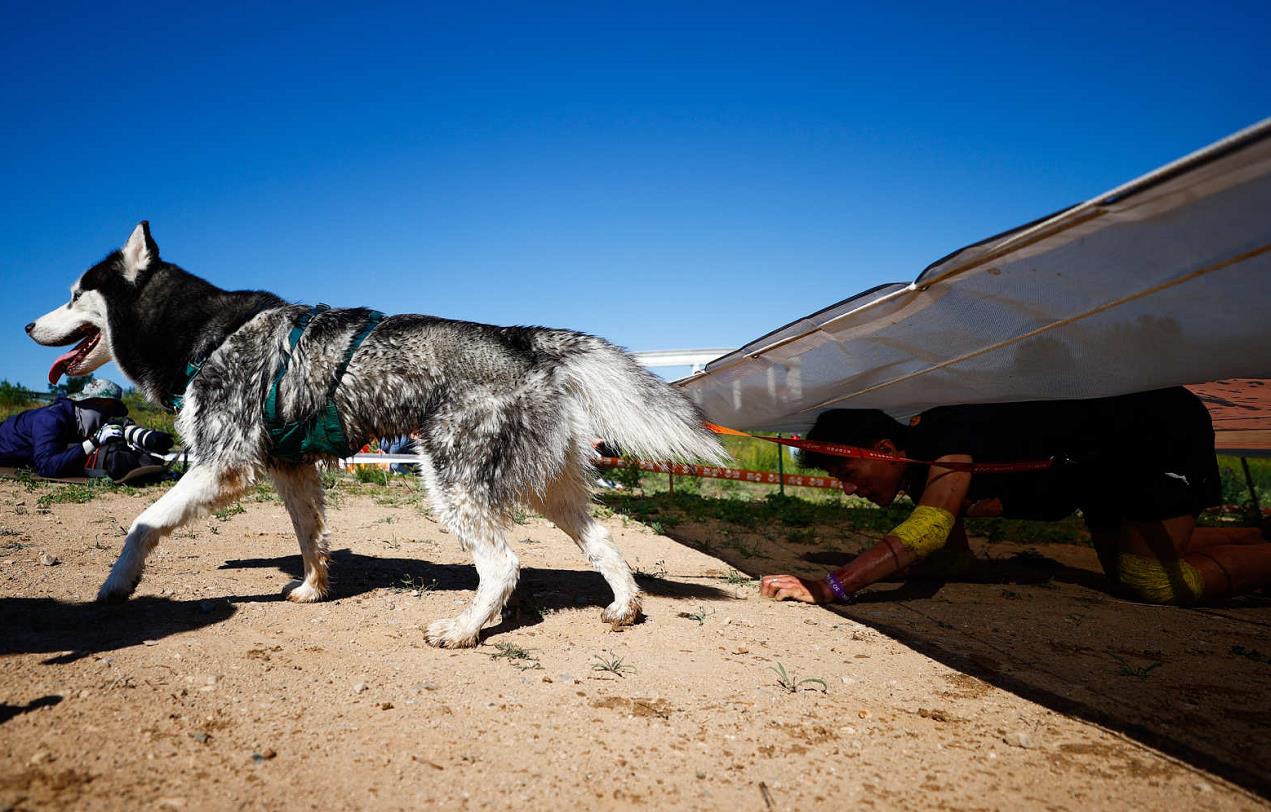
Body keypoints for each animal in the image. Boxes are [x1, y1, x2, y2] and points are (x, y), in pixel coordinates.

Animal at [27, 222, 727, 648]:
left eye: (74, 295)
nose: (31, 324)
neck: (205, 331)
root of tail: (522, 338)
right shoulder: (291, 470)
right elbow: (310, 538)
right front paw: (312, 589)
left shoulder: (220, 464)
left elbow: (142, 524)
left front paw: (117, 585)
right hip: (547, 488)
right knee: (604, 542)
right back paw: (624, 607)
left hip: (452, 480)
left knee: (502, 565)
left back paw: (464, 629)